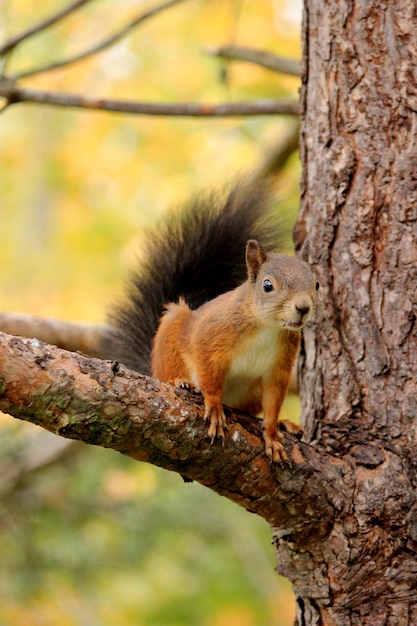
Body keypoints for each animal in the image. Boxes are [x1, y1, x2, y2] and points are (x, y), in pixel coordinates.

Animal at [105, 178, 316, 460]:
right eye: (267, 285)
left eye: (316, 283)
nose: (303, 307)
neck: (267, 327)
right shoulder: (212, 335)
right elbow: (209, 373)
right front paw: (215, 409)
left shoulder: (279, 366)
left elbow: (273, 402)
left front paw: (272, 433)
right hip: (170, 338)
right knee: (168, 373)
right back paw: (180, 381)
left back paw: (285, 423)